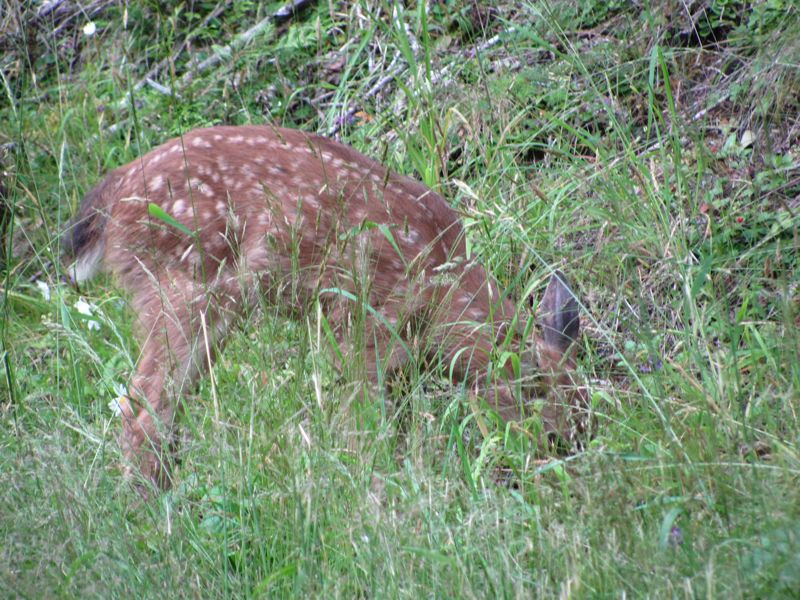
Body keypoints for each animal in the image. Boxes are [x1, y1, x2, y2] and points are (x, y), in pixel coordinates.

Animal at [62, 124, 584, 494]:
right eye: (554, 432)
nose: (570, 474)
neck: (443, 289)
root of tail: (111, 198)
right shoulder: (362, 326)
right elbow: (365, 429)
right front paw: (378, 494)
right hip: (185, 285)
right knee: (140, 410)